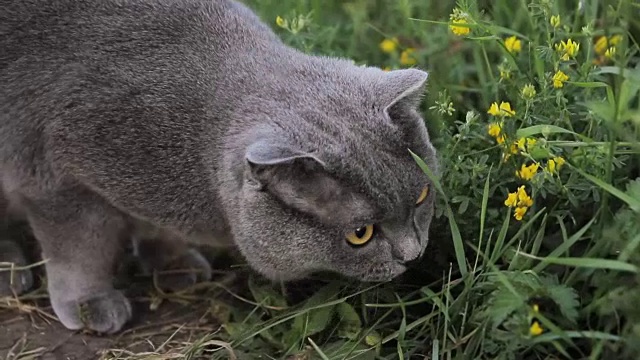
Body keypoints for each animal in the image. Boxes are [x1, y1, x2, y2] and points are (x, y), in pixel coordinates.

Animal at [0, 0, 440, 334]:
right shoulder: (53, 178)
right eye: (360, 235)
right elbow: (80, 249)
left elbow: (156, 226)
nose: (414, 254)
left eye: (422, 196)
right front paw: (89, 302)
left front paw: (173, 260)